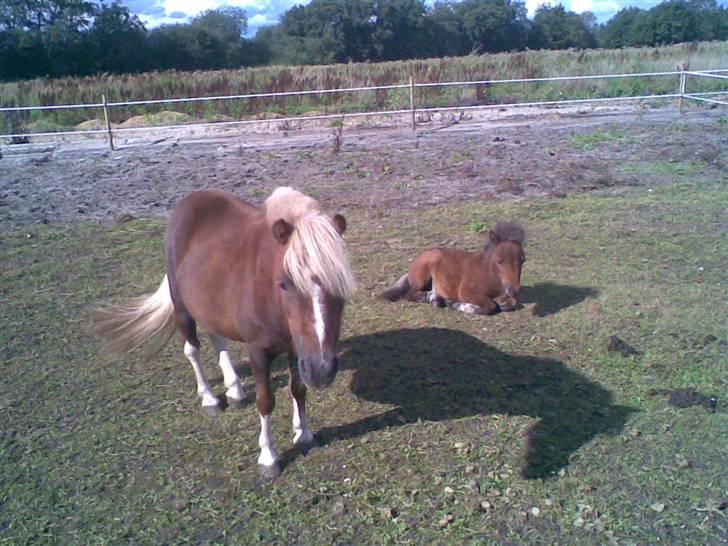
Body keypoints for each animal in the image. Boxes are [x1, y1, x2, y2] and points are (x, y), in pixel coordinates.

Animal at [93, 188, 356, 476]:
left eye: (340, 285)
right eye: (284, 283)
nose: (321, 371)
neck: (268, 290)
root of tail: (190, 200)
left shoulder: (298, 349)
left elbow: (298, 389)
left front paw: (304, 435)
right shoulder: (259, 350)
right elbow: (266, 400)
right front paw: (268, 457)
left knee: (217, 339)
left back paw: (235, 391)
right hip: (182, 308)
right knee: (192, 350)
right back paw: (209, 398)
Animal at [382, 221, 524, 314]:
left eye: (523, 260)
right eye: (499, 261)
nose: (514, 290)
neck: (486, 272)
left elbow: (512, 304)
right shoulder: (466, 291)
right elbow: (490, 306)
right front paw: (459, 305)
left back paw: (437, 300)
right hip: (422, 278)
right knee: (410, 294)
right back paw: (431, 298)